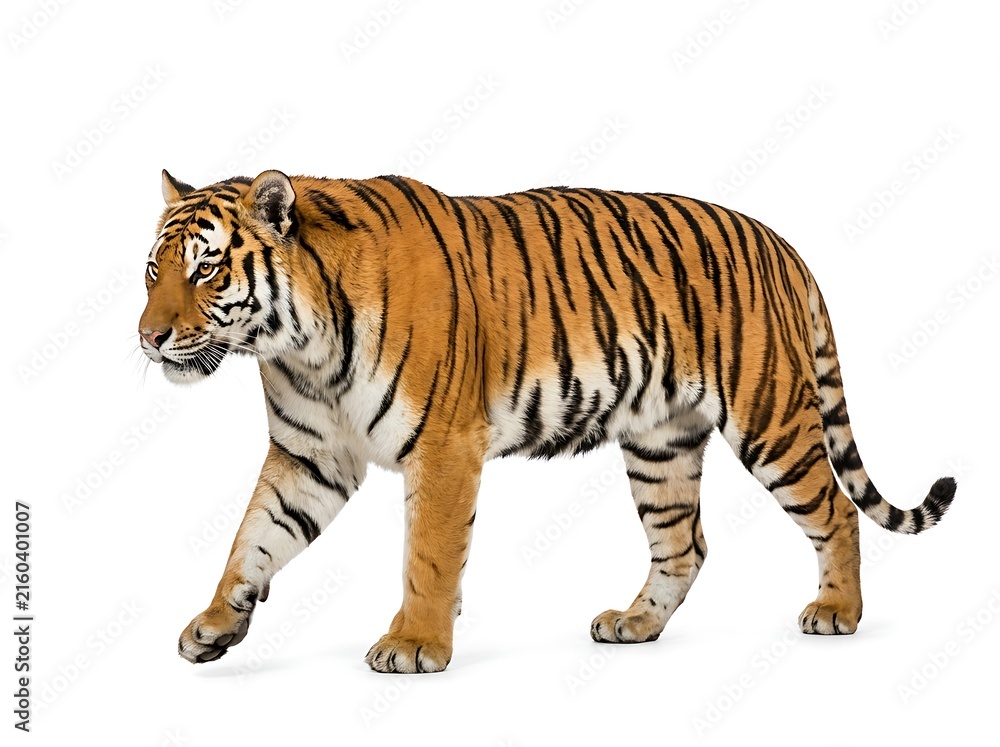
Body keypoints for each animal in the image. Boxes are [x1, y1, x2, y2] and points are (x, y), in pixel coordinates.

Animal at [138, 168, 955, 673]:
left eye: (206, 268)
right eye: (153, 270)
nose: (147, 336)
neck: (299, 344)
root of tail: (781, 244)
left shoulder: (444, 447)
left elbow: (428, 554)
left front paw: (415, 644)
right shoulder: (310, 456)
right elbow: (253, 538)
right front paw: (214, 624)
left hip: (771, 419)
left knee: (835, 512)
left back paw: (837, 610)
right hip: (661, 444)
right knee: (684, 544)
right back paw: (635, 625)